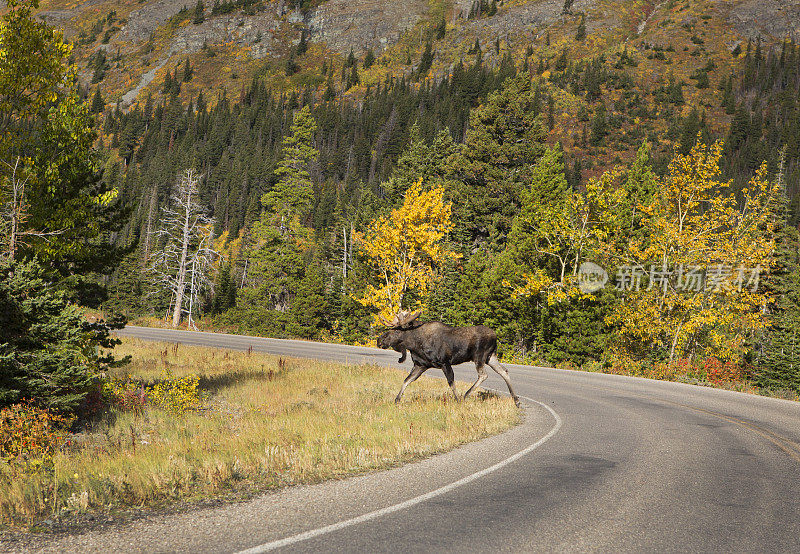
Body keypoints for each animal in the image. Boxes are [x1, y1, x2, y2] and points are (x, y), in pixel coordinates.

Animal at [376, 310, 520, 406]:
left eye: (396, 330)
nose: (379, 340)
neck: (415, 344)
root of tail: (495, 337)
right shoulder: (421, 365)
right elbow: (406, 380)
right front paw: (397, 399)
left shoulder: (444, 362)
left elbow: (451, 382)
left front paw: (457, 400)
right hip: (491, 356)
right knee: (504, 371)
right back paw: (516, 400)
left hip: (479, 355)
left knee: (483, 375)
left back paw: (466, 395)